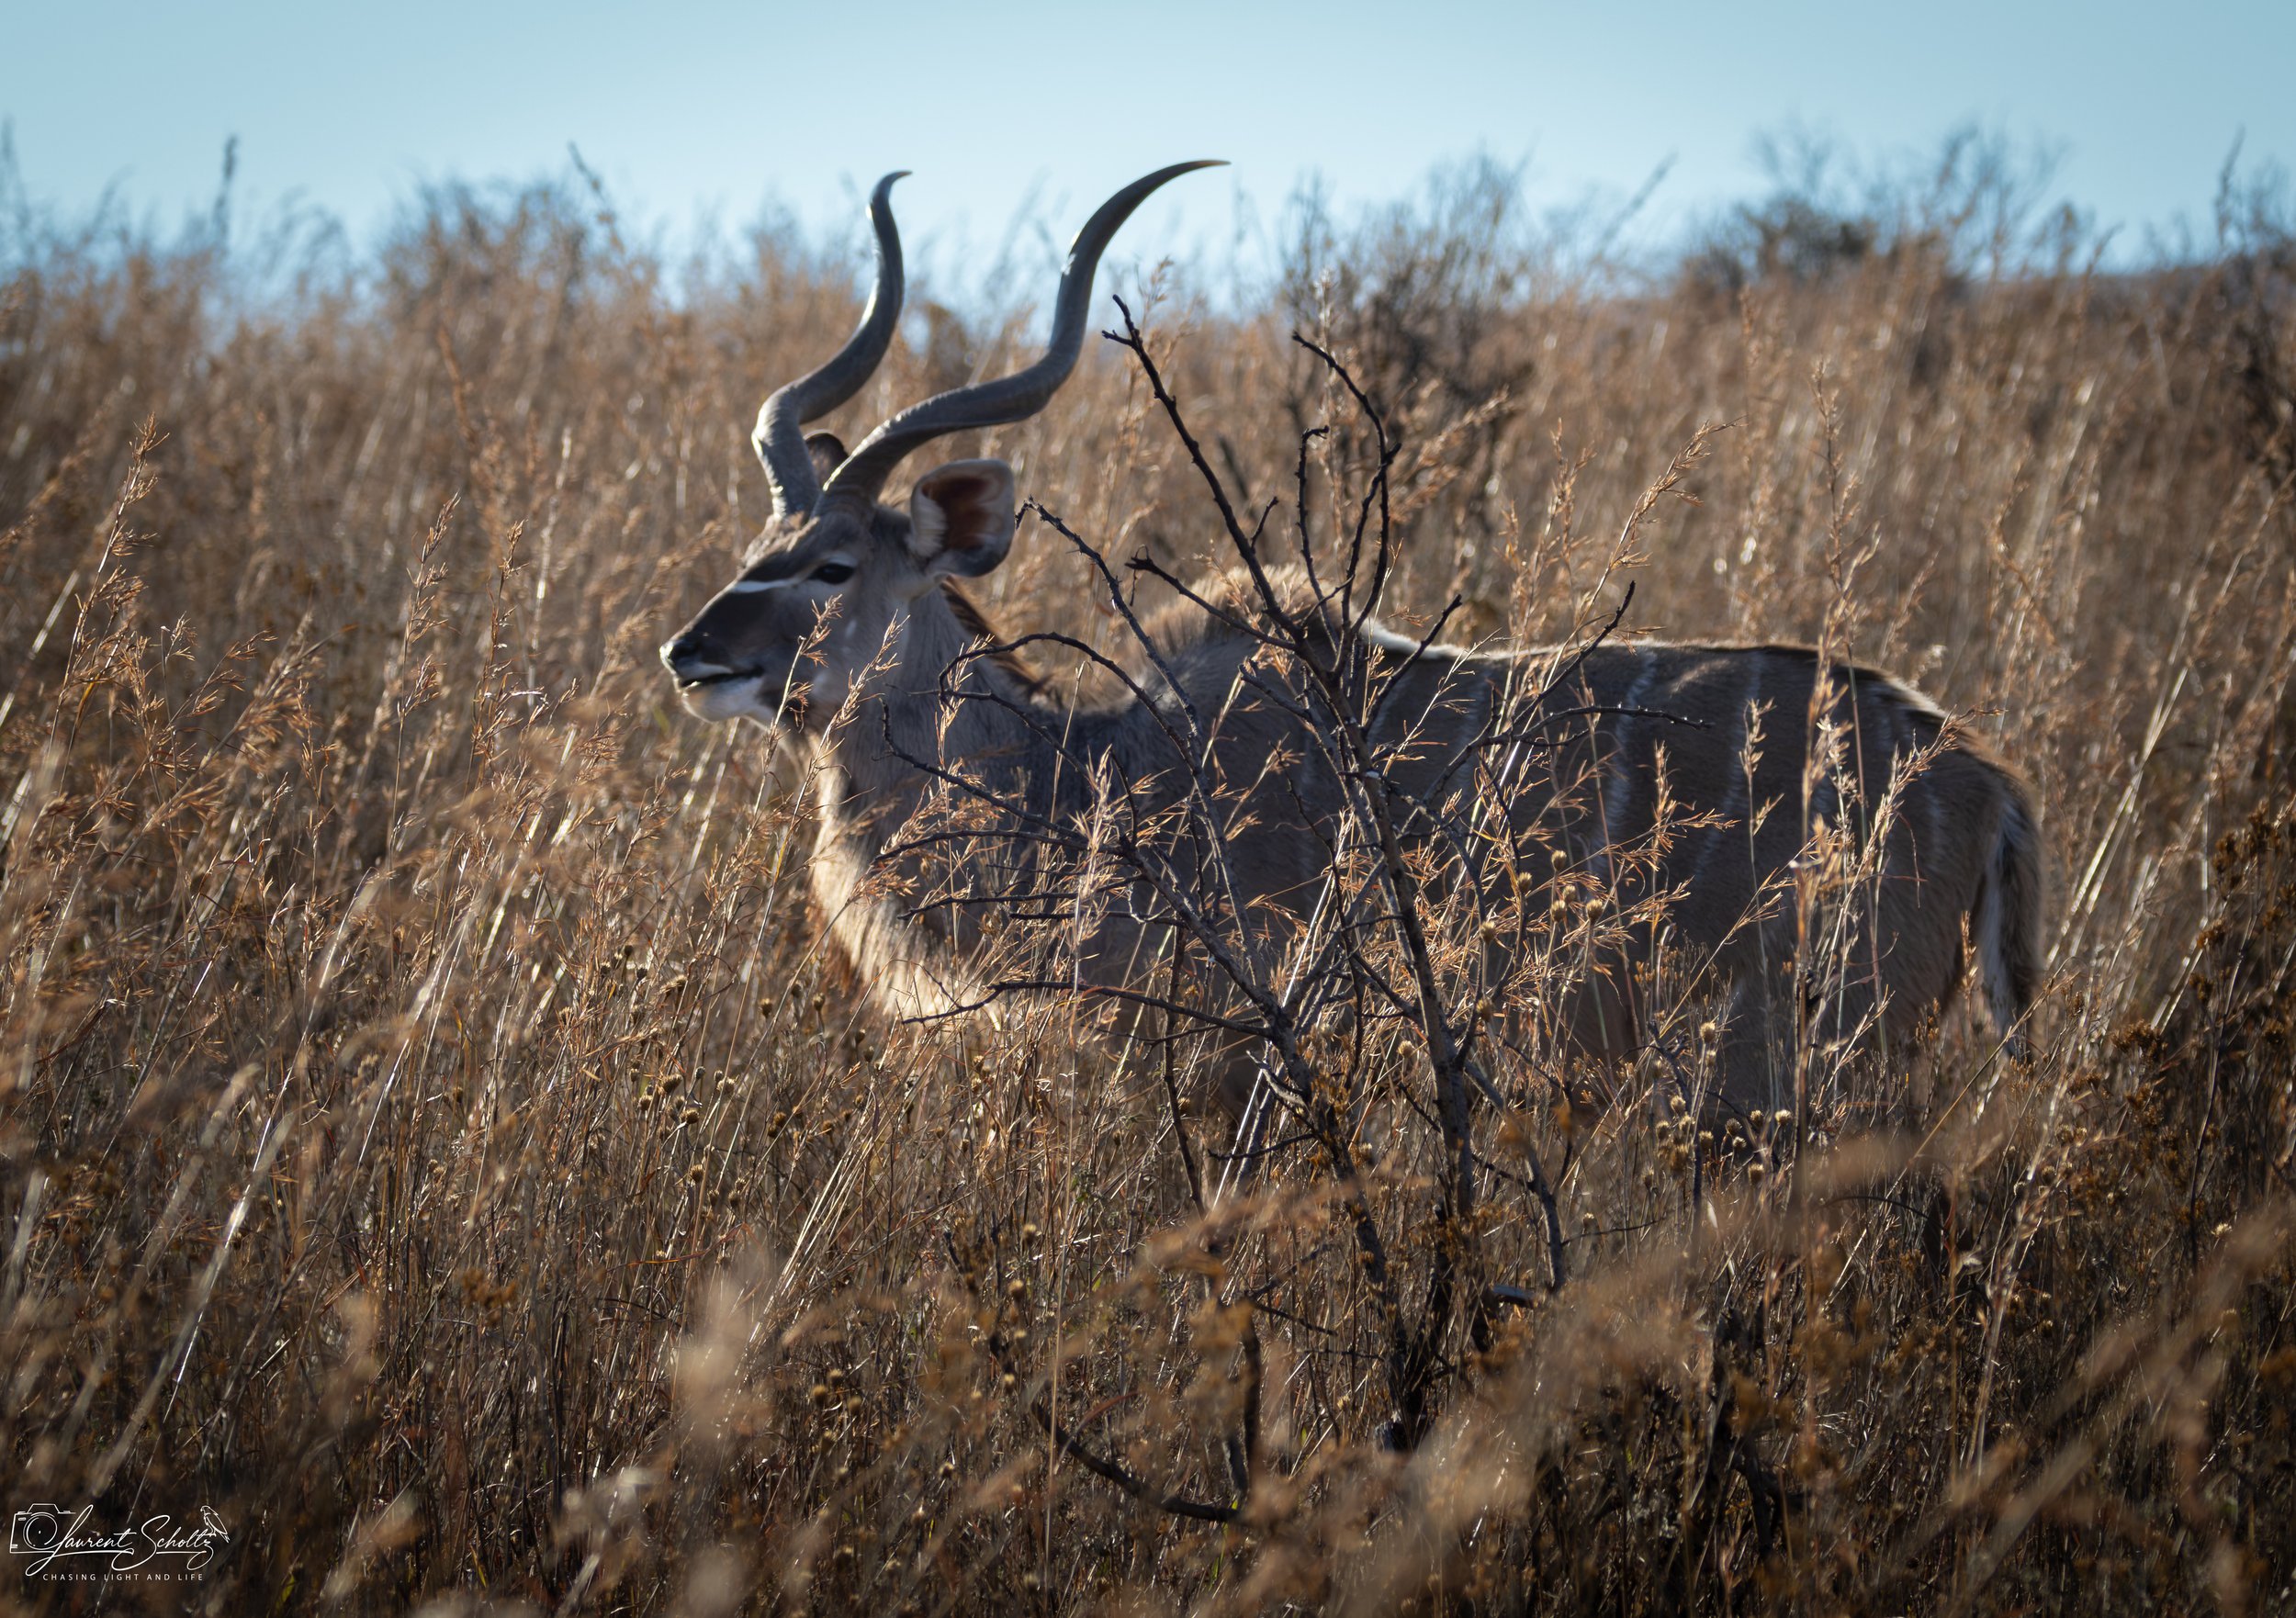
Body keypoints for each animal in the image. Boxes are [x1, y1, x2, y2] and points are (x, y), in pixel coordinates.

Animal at [660, 164, 2044, 1117]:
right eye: (758, 541)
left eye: (833, 565)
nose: (693, 653)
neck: (1092, 783)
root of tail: (1980, 777)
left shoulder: (1223, 1060)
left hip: (1796, 1063)